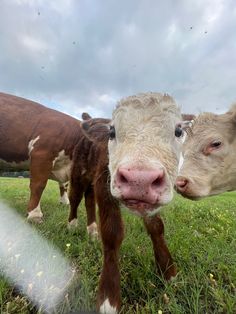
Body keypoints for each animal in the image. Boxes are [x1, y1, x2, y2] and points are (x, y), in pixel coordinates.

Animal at [70, 92, 183, 312]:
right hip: (79, 173)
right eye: (112, 132)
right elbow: (112, 234)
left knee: (88, 201)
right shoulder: (103, 184)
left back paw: (92, 230)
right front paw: (108, 299)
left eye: (178, 131)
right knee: (74, 198)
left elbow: (156, 227)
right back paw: (72, 224)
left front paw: (168, 272)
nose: (140, 179)